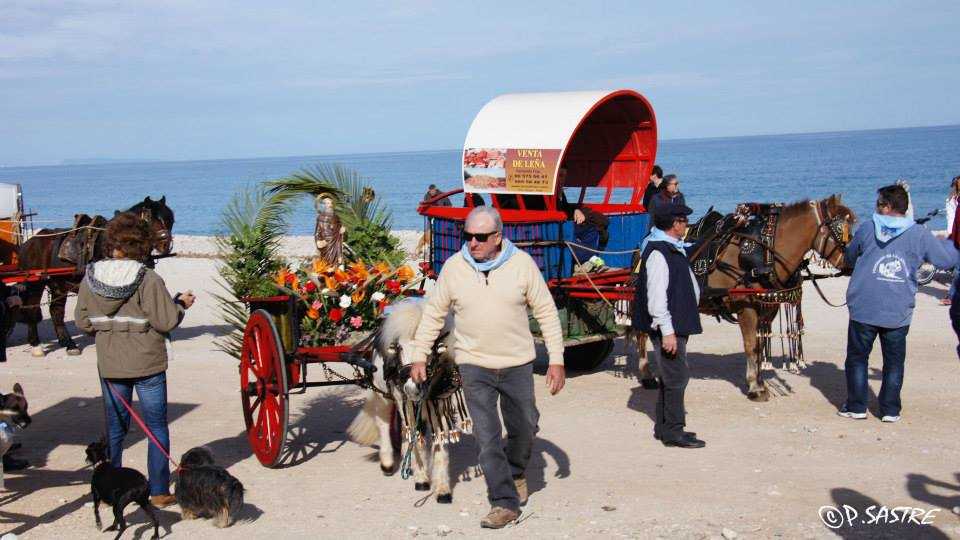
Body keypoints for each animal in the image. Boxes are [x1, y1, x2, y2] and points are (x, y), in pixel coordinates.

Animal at [15, 196, 175, 356]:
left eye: (170, 220)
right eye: (150, 219)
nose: (166, 244)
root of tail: (29, 243)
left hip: (58, 285)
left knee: (56, 311)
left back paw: (68, 344)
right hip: (36, 285)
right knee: (32, 310)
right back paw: (36, 345)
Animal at [346, 302, 470, 504]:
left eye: (431, 347)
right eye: (399, 348)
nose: (413, 388)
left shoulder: (439, 404)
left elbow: (439, 440)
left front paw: (442, 489)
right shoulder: (405, 401)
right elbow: (413, 434)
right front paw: (421, 479)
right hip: (384, 396)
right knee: (384, 423)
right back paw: (388, 463)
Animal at [696, 195, 856, 400]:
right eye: (841, 230)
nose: (853, 263)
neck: (764, 255)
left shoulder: (768, 309)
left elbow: (760, 345)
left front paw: (759, 382)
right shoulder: (745, 308)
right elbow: (751, 345)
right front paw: (755, 387)